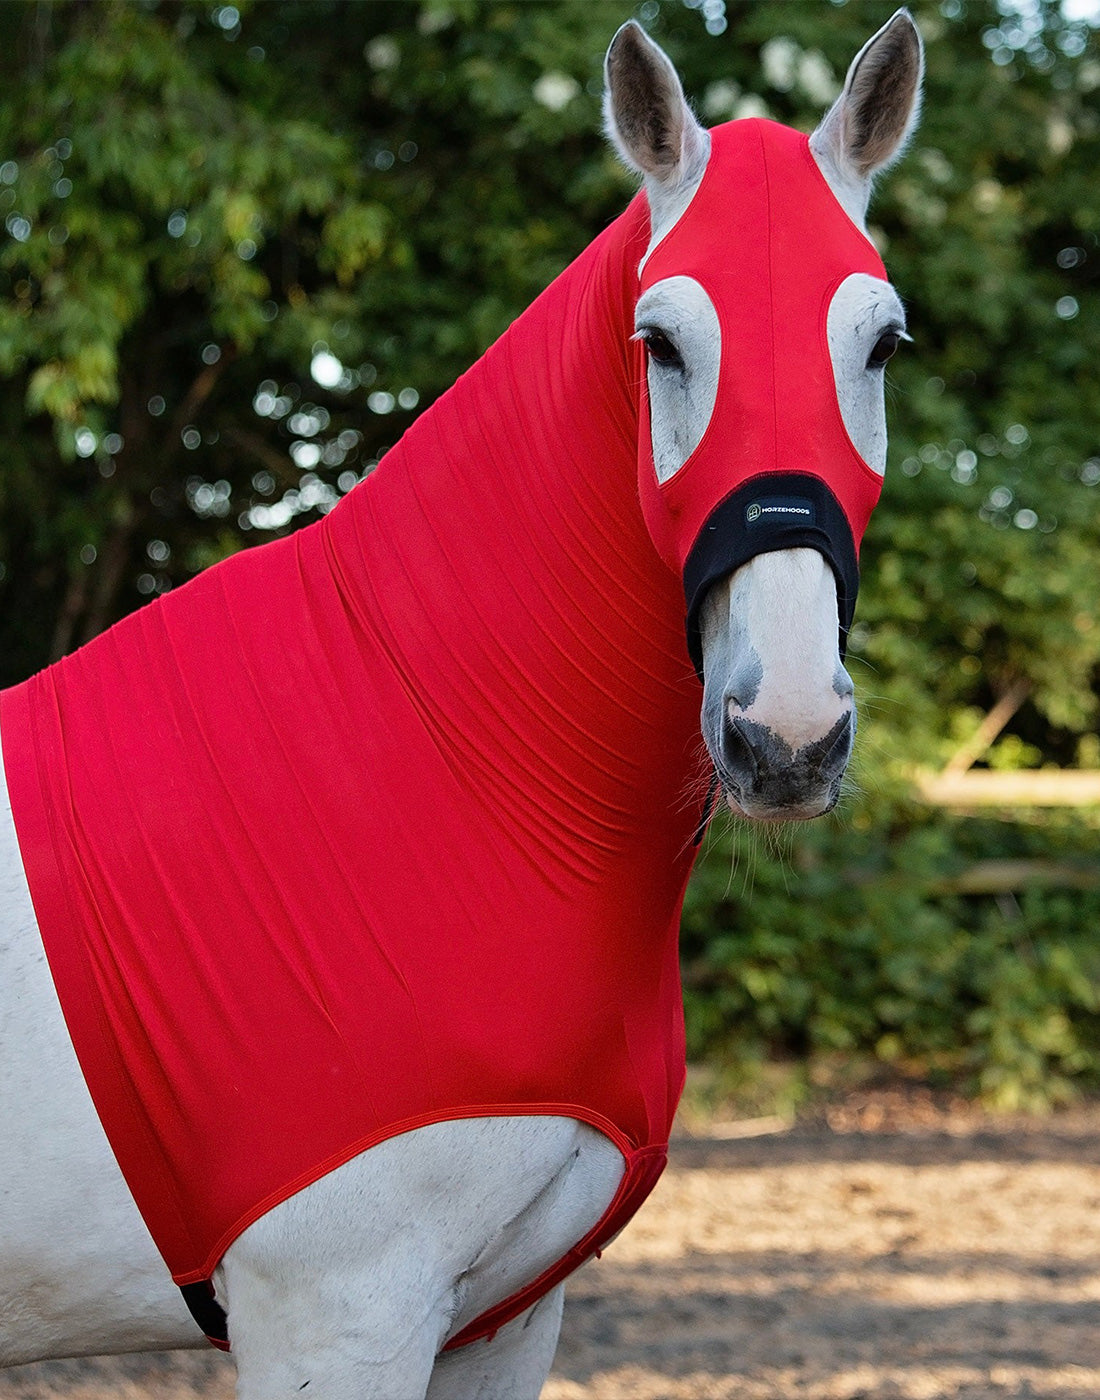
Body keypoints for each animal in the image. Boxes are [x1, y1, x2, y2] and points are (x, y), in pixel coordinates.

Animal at [0, 13, 923, 1399]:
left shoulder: (499, 1319)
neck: (434, 761)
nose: (788, 737)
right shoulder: (338, 1314)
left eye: (878, 342)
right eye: (659, 342)